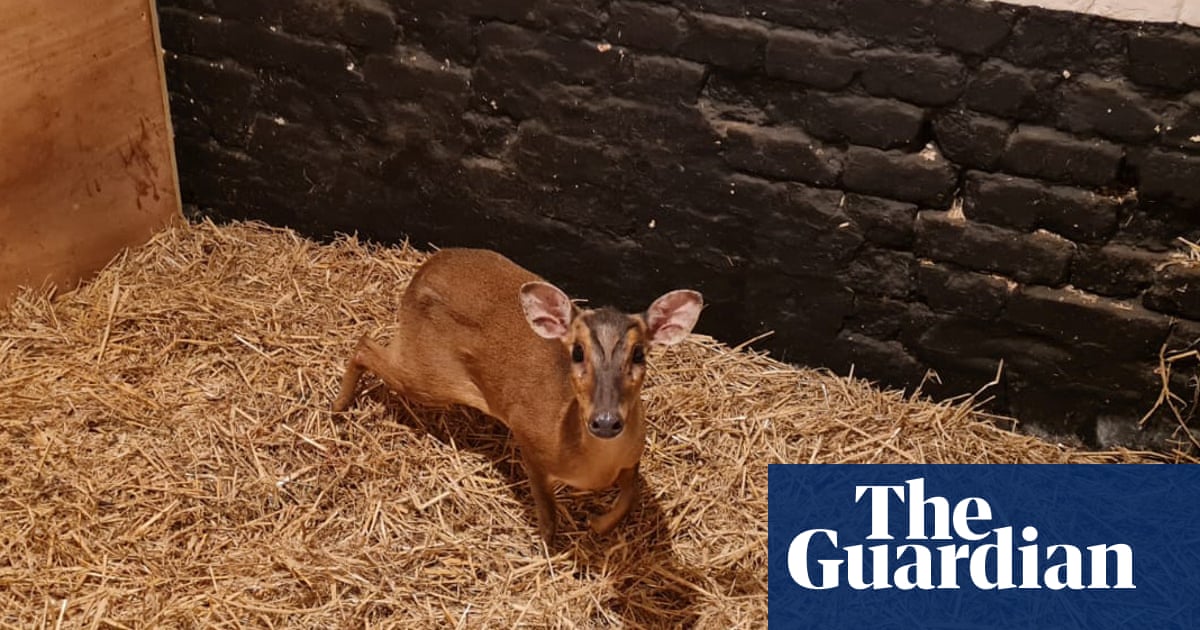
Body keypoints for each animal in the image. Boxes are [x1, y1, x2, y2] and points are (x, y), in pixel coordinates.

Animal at [331, 248, 703, 543]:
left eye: (639, 353)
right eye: (577, 351)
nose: (606, 421)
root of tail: (422, 271)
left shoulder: (634, 454)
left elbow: (630, 495)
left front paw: (598, 525)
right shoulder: (528, 439)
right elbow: (548, 511)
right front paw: (550, 546)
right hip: (427, 376)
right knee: (364, 345)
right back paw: (338, 406)